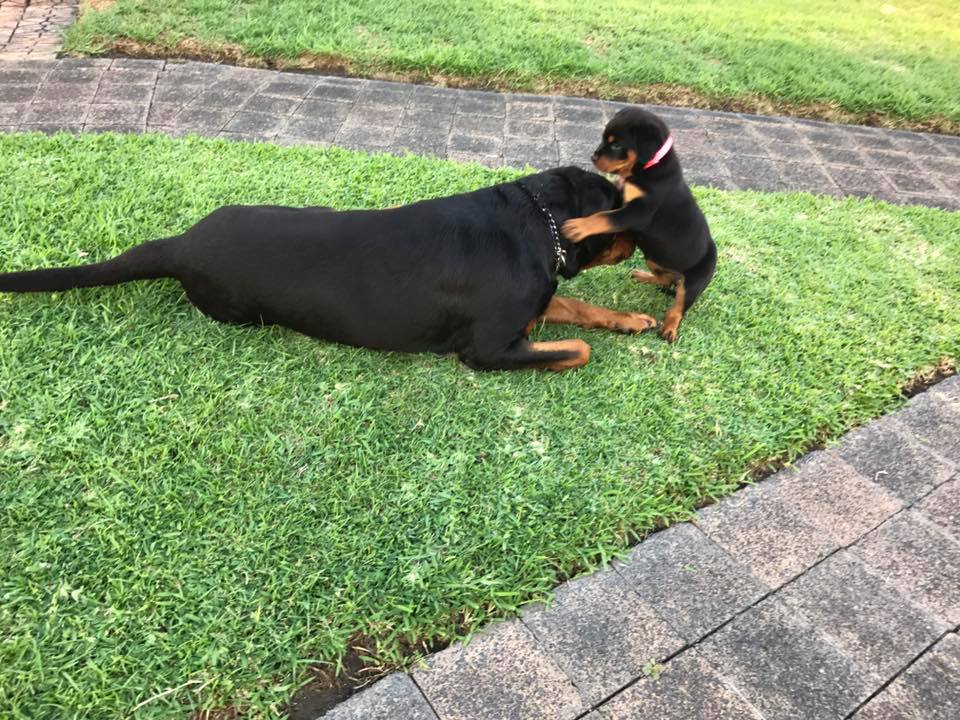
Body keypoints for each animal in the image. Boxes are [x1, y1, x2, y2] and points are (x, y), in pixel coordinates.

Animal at [0, 167, 656, 372]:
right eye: (620, 206)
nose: (646, 241)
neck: (537, 222)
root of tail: (183, 243)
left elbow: (578, 308)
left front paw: (631, 320)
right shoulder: (488, 348)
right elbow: (576, 347)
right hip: (242, 311)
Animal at [564, 107, 712, 344]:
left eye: (616, 145)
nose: (593, 157)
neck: (646, 168)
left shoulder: (639, 212)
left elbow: (605, 217)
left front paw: (577, 227)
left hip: (694, 282)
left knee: (679, 307)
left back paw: (669, 329)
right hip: (654, 259)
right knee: (664, 280)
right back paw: (642, 276)